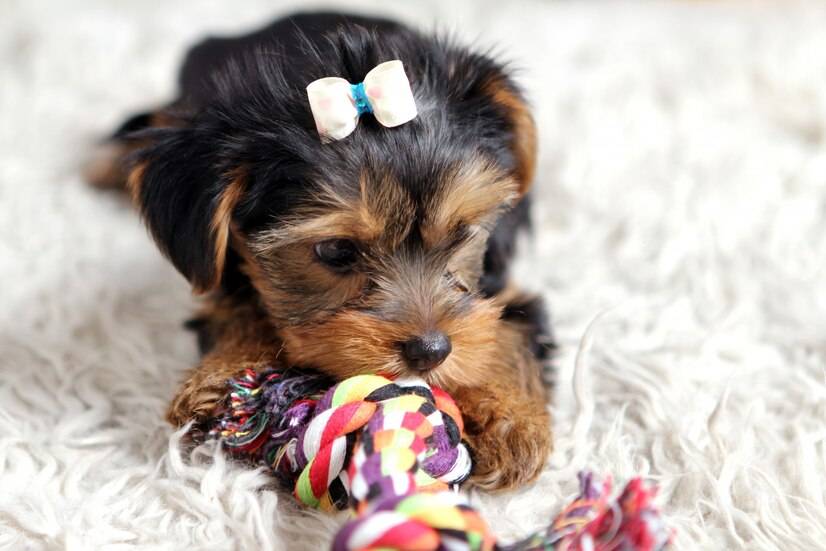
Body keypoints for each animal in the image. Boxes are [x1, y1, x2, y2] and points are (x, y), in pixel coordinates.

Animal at [90, 11, 552, 492]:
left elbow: (511, 328)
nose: (430, 351)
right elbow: (239, 307)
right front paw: (224, 377)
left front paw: (512, 421)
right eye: (335, 250)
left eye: (461, 232)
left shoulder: (497, 285)